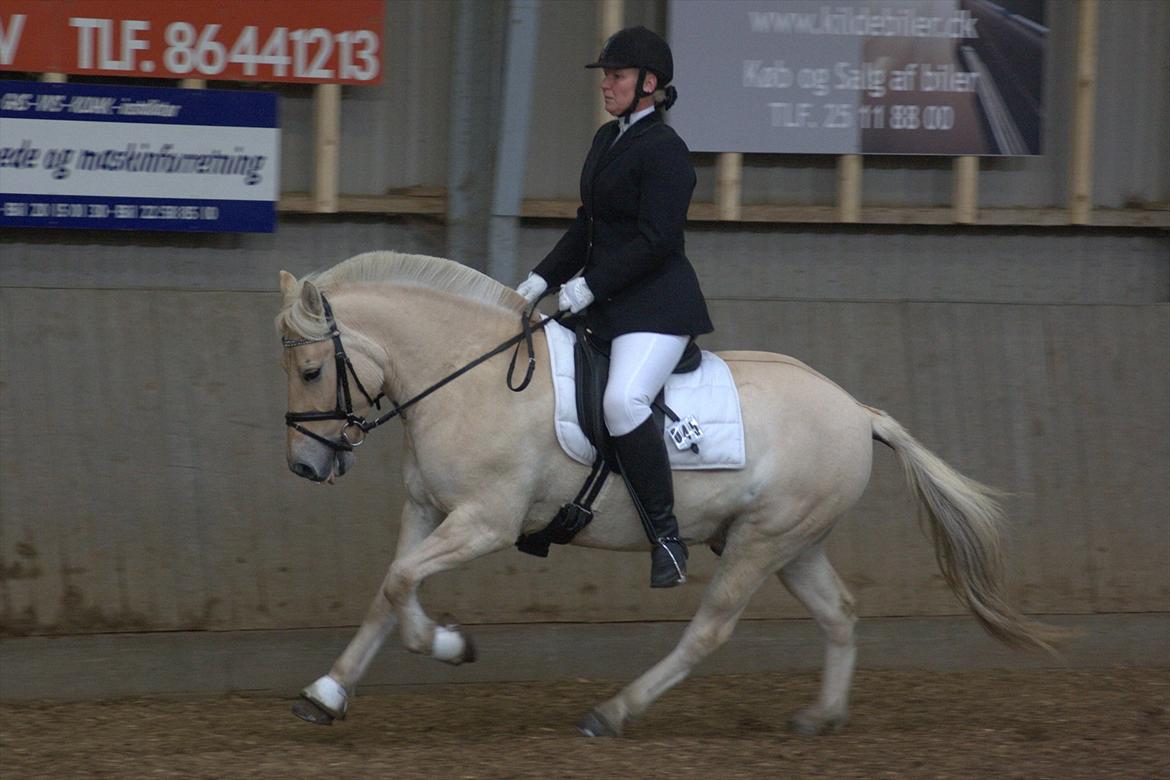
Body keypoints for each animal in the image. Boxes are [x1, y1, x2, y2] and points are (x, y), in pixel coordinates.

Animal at [276, 251, 1062, 739]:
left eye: (312, 370)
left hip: (762, 541)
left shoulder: (484, 522)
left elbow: (403, 586)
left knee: (710, 629)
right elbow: (389, 587)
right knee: (838, 613)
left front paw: (447, 644)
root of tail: (855, 410)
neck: (468, 377)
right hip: (793, 542)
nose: (305, 467)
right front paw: (327, 692)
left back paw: (614, 712)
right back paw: (820, 719)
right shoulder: (429, 510)